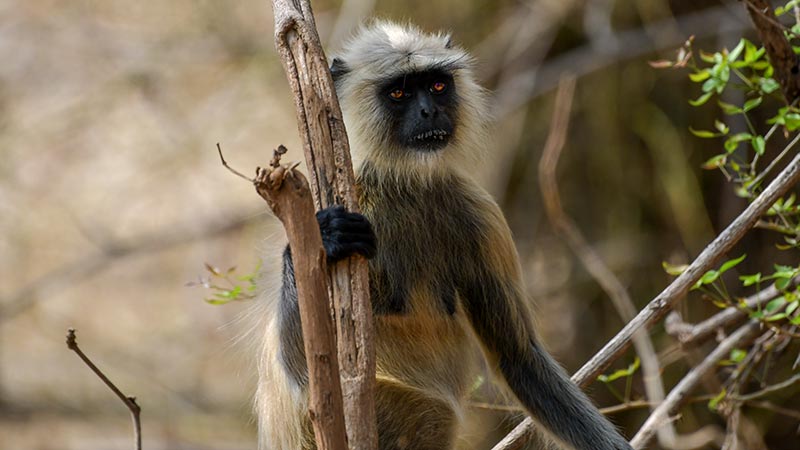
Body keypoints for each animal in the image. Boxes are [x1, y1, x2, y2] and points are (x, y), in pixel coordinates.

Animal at [255, 20, 632, 450]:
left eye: (437, 86)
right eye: (399, 92)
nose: (428, 111)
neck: (403, 185)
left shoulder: (479, 213)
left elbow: (519, 359)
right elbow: (305, 377)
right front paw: (327, 238)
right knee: (429, 411)